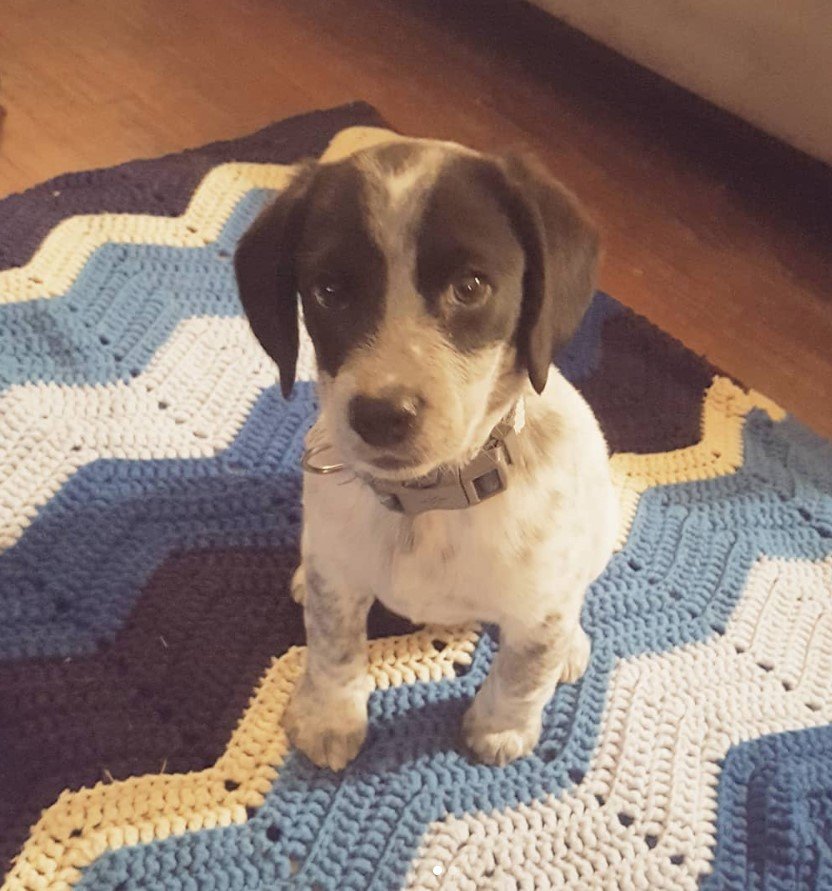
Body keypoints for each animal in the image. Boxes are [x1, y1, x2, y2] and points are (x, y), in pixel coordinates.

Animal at [234, 136, 616, 772]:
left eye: (471, 287)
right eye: (328, 291)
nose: (382, 415)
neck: (429, 500)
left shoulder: (540, 608)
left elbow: (524, 669)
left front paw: (501, 728)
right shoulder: (338, 583)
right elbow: (333, 648)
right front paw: (329, 717)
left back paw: (572, 646)